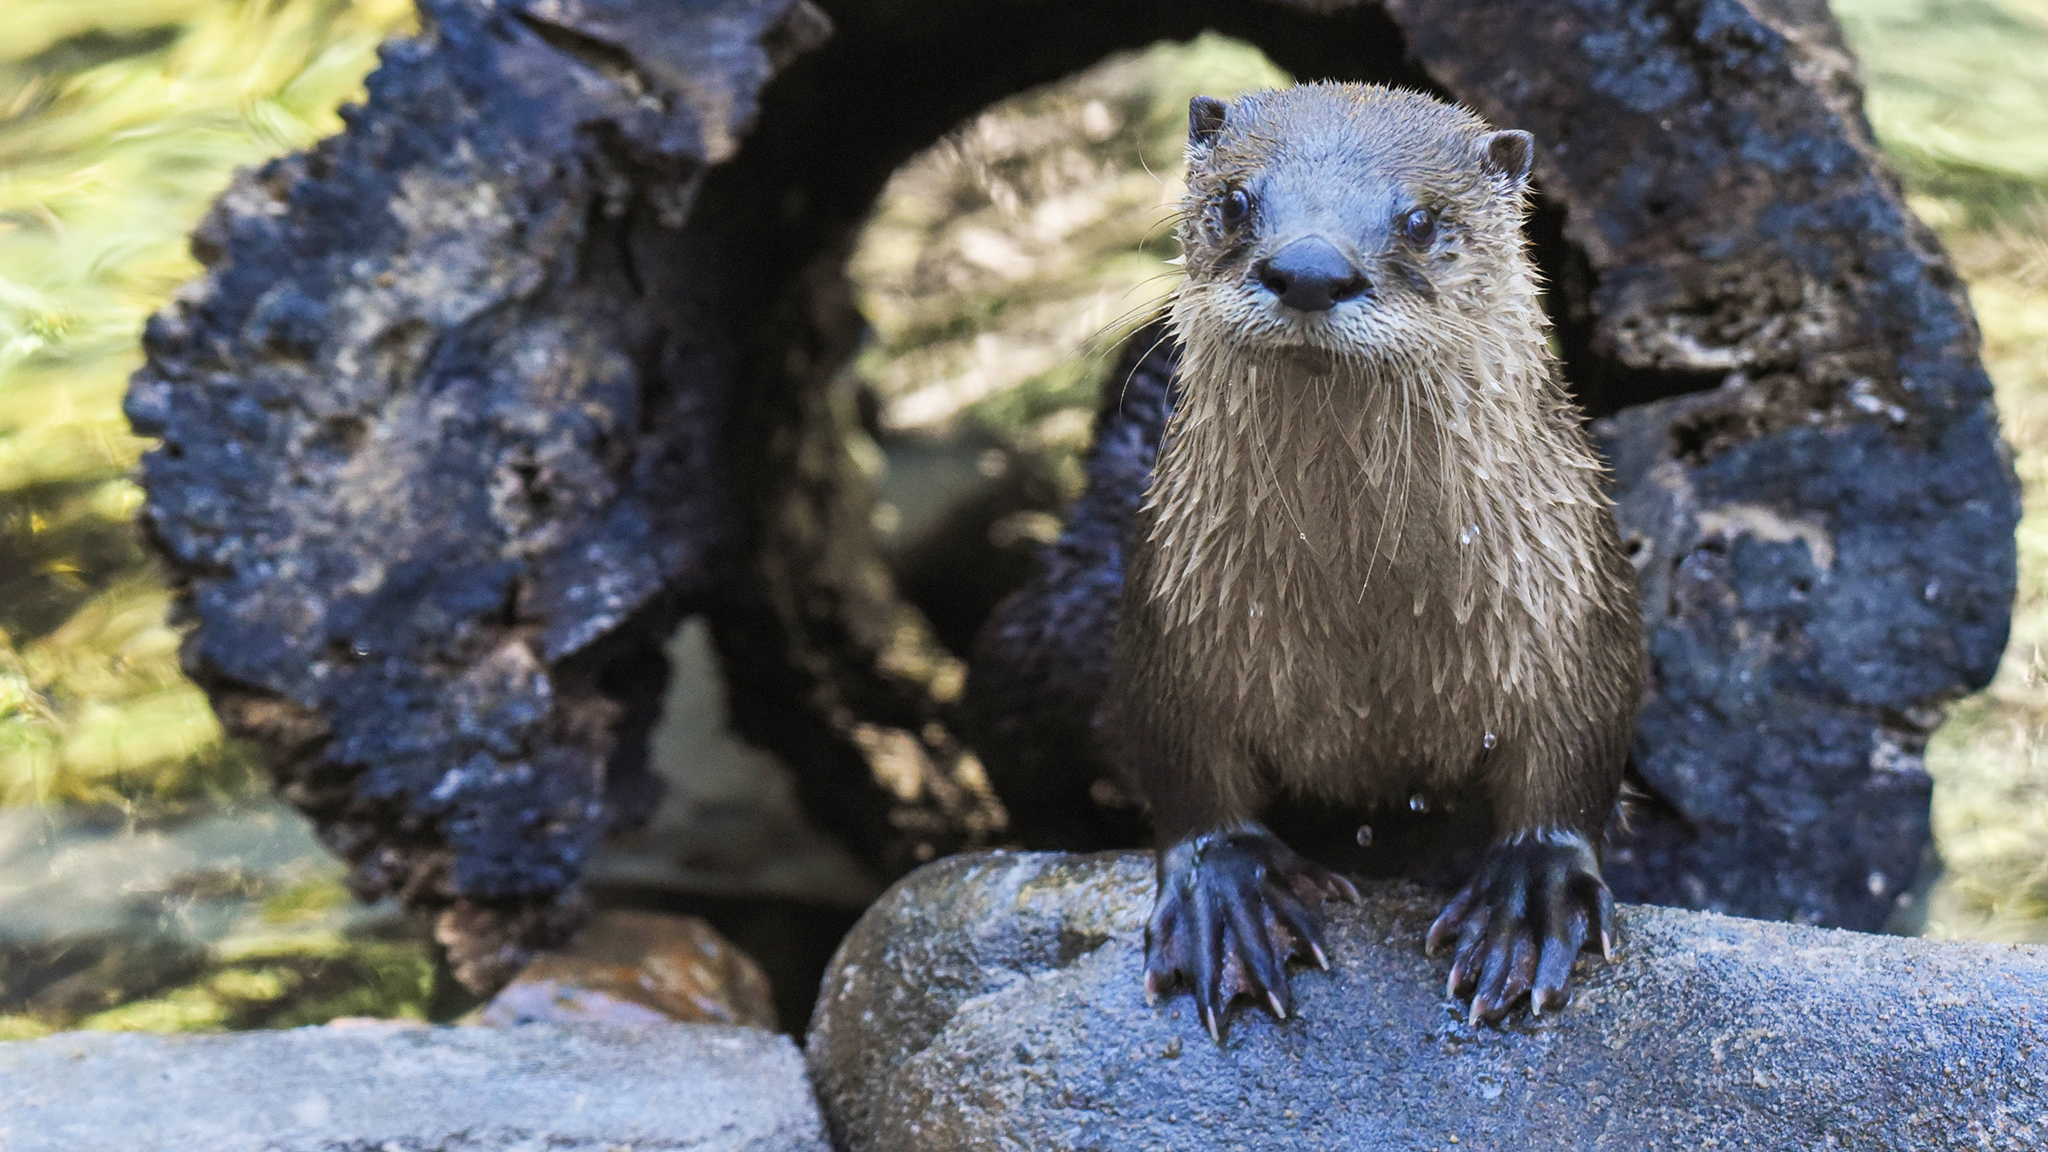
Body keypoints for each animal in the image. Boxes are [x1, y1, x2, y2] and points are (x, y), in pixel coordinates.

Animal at [1105, 85, 1646, 1037]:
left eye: (1422, 220)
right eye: (1236, 201)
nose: (1310, 267)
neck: (1366, 618)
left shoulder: (1573, 600)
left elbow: (1579, 743)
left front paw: (1529, 894)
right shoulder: (1171, 604)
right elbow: (1179, 757)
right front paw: (1228, 886)